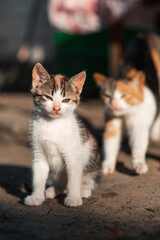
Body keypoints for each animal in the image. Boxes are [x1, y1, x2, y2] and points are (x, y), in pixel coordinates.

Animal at [24, 62, 100, 207]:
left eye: (66, 100)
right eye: (48, 97)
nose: (56, 108)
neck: (52, 124)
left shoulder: (73, 155)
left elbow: (74, 178)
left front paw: (74, 198)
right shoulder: (39, 153)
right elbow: (38, 177)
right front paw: (36, 197)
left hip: (92, 154)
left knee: (89, 180)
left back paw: (83, 189)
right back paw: (54, 189)